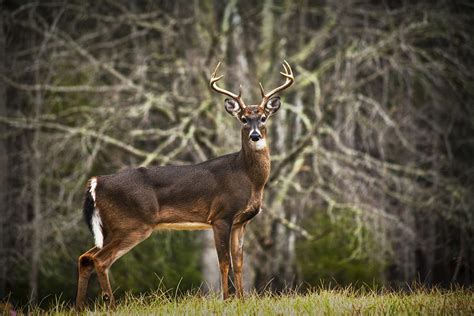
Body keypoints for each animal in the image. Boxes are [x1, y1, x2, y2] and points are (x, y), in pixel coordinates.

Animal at [74, 59, 294, 308]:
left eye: (264, 117)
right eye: (244, 119)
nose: (255, 136)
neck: (248, 178)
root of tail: (95, 182)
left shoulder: (241, 221)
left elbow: (239, 262)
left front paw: (242, 300)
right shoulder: (220, 216)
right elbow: (224, 262)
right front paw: (226, 300)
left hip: (111, 227)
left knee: (86, 257)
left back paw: (80, 308)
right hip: (132, 224)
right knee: (100, 260)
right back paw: (110, 305)